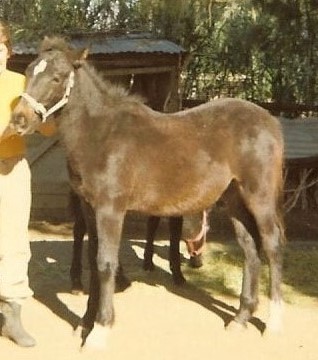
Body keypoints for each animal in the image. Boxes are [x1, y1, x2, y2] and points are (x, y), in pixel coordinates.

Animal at [11, 37, 286, 348]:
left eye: (57, 77)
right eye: (29, 72)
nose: (19, 119)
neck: (102, 134)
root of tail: (269, 121)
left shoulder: (110, 209)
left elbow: (105, 263)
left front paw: (100, 330)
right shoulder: (90, 210)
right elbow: (93, 261)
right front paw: (85, 323)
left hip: (259, 197)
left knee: (272, 246)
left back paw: (274, 323)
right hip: (234, 200)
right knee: (250, 248)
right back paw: (240, 319)